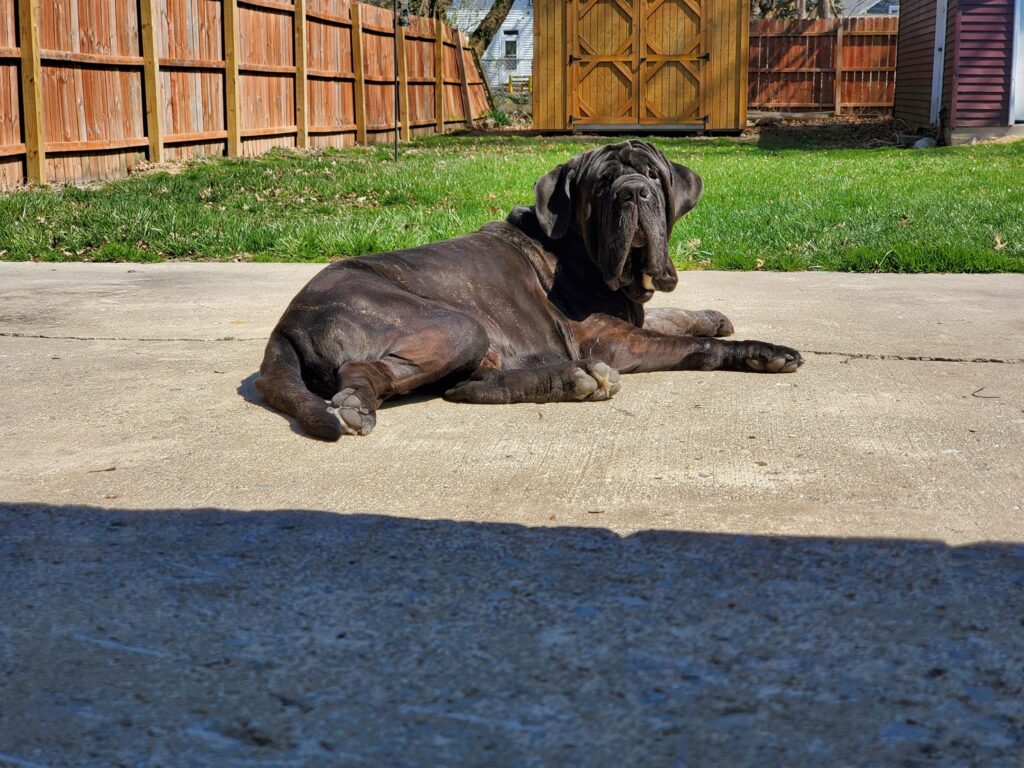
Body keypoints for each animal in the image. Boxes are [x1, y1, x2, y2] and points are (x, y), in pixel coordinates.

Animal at [253, 138, 798, 438]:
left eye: (652, 175)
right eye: (602, 184)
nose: (633, 193)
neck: (581, 251)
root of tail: (286, 324)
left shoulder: (629, 315)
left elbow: (674, 317)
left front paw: (713, 316)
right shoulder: (611, 338)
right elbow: (696, 346)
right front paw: (762, 351)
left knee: (464, 386)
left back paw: (576, 380)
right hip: (457, 326)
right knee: (376, 374)